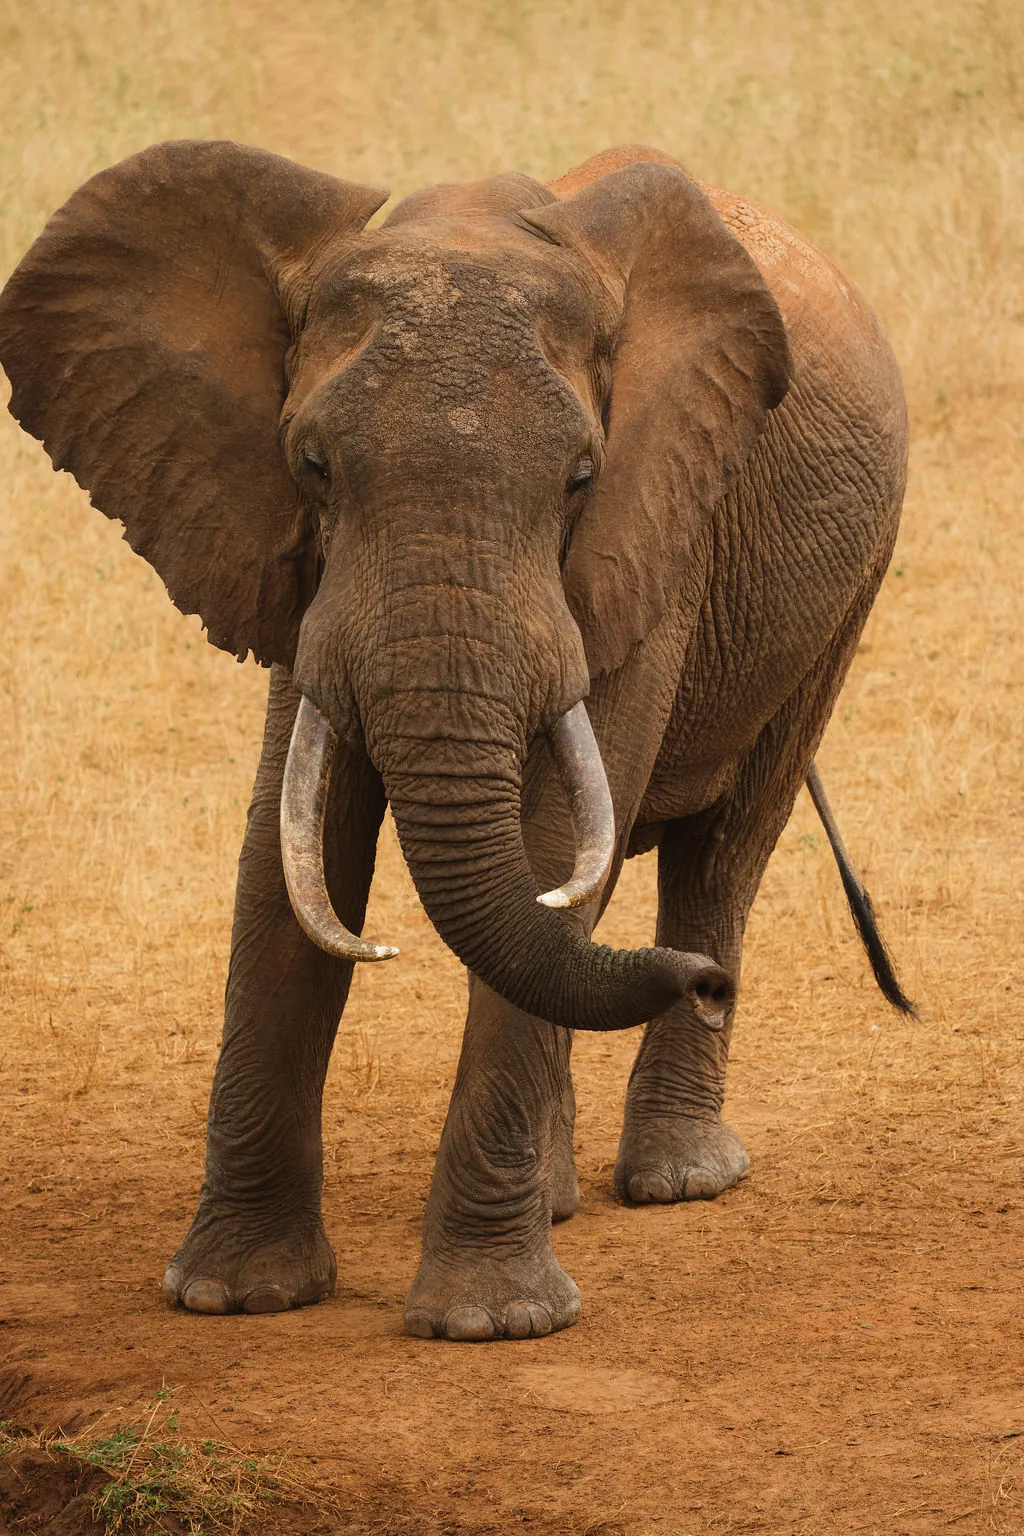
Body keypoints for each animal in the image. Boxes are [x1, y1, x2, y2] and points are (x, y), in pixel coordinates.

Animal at [0, 140, 912, 1342]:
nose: (706, 985)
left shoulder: (651, 530)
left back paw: (679, 1177)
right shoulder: (294, 563)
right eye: (311, 466)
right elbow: (290, 850)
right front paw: (232, 1297)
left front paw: (488, 1325)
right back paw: (567, 1191)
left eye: (580, 478)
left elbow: (552, 842)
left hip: (848, 586)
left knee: (719, 848)